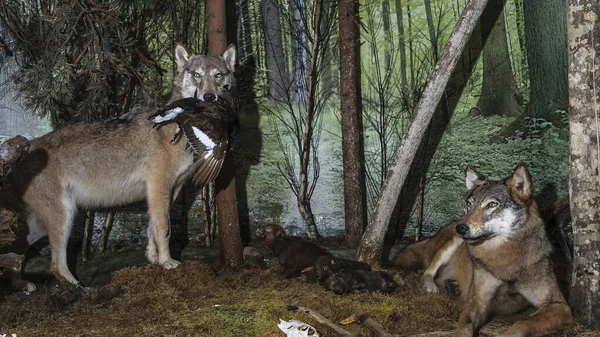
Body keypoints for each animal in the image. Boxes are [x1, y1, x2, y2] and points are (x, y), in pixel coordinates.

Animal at [0, 43, 239, 290]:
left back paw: (22, 285)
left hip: (39, 226)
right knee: (55, 265)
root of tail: (25, 150)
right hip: (64, 217)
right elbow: (165, 229)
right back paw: (81, 289)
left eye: (218, 75)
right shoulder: (159, 186)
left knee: (14, 254)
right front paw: (167, 262)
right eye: (197, 75)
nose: (209, 97)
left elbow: (152, 227)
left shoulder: (170, 190)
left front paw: (153, 258)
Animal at [392, 162, 576, 334]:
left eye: (492, 204)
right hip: (450, 245)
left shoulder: (560, 305)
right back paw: (432, 287)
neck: (504, 257)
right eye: (470, 204)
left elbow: (522, 324)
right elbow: (464, 327)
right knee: (427, 272)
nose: (461, 228)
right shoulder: (478, 301)